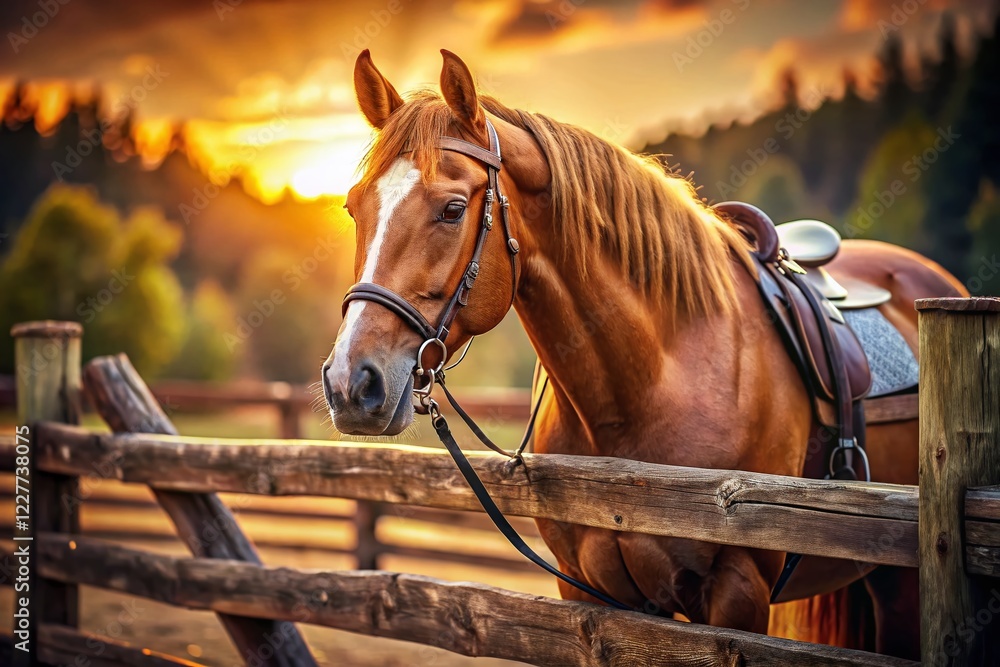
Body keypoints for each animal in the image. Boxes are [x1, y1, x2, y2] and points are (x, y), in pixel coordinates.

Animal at [321, 49, 967, 659]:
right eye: (353, 207)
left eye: (453, 209)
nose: (352, 383)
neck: (651, 383)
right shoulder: (589, 594)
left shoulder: (736, 594)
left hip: (899, 585)